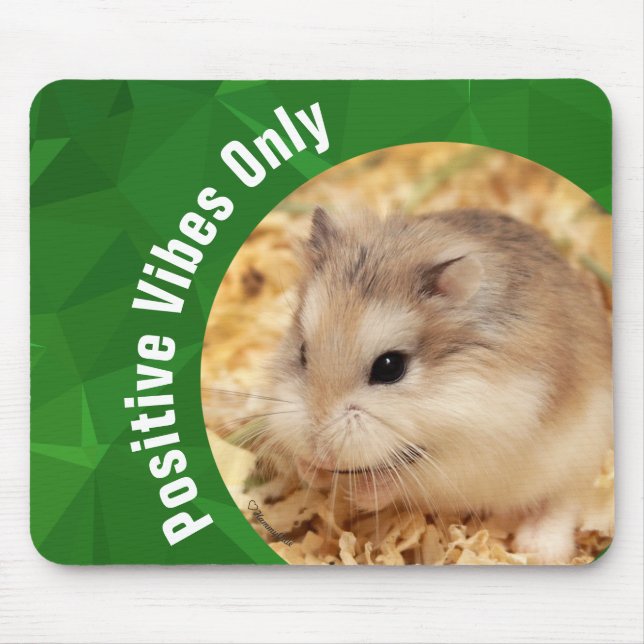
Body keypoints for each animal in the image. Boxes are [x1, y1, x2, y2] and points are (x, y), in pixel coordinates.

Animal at [262, 207, 612, 563]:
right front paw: (310, 469)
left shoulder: (474, 455)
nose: (319, 450)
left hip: (579, 454)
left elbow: (410, 480)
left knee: (565, 500)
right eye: (302, 352)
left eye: (390, 367)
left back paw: (537, 548)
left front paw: (360, 493)